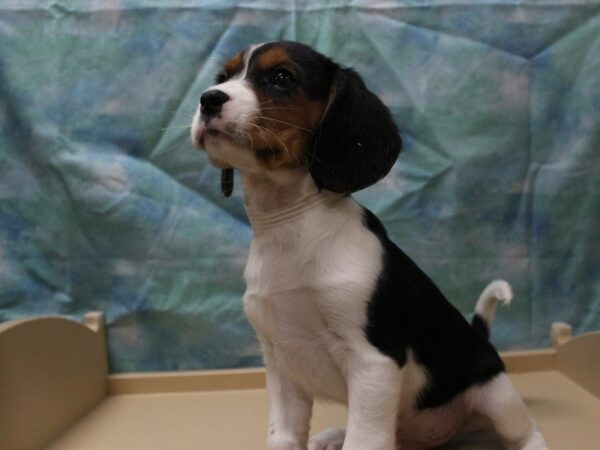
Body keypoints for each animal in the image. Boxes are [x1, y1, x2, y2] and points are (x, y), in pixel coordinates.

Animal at [191, 41, 548, 450]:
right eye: (224, 77)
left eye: (282, 77)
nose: (208, 99)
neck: (290, 223)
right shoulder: (282, 364)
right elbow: (284, 437)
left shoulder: (373, 361)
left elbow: (364, 440)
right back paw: (333, 435)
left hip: (496, 396)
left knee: (528, 433)